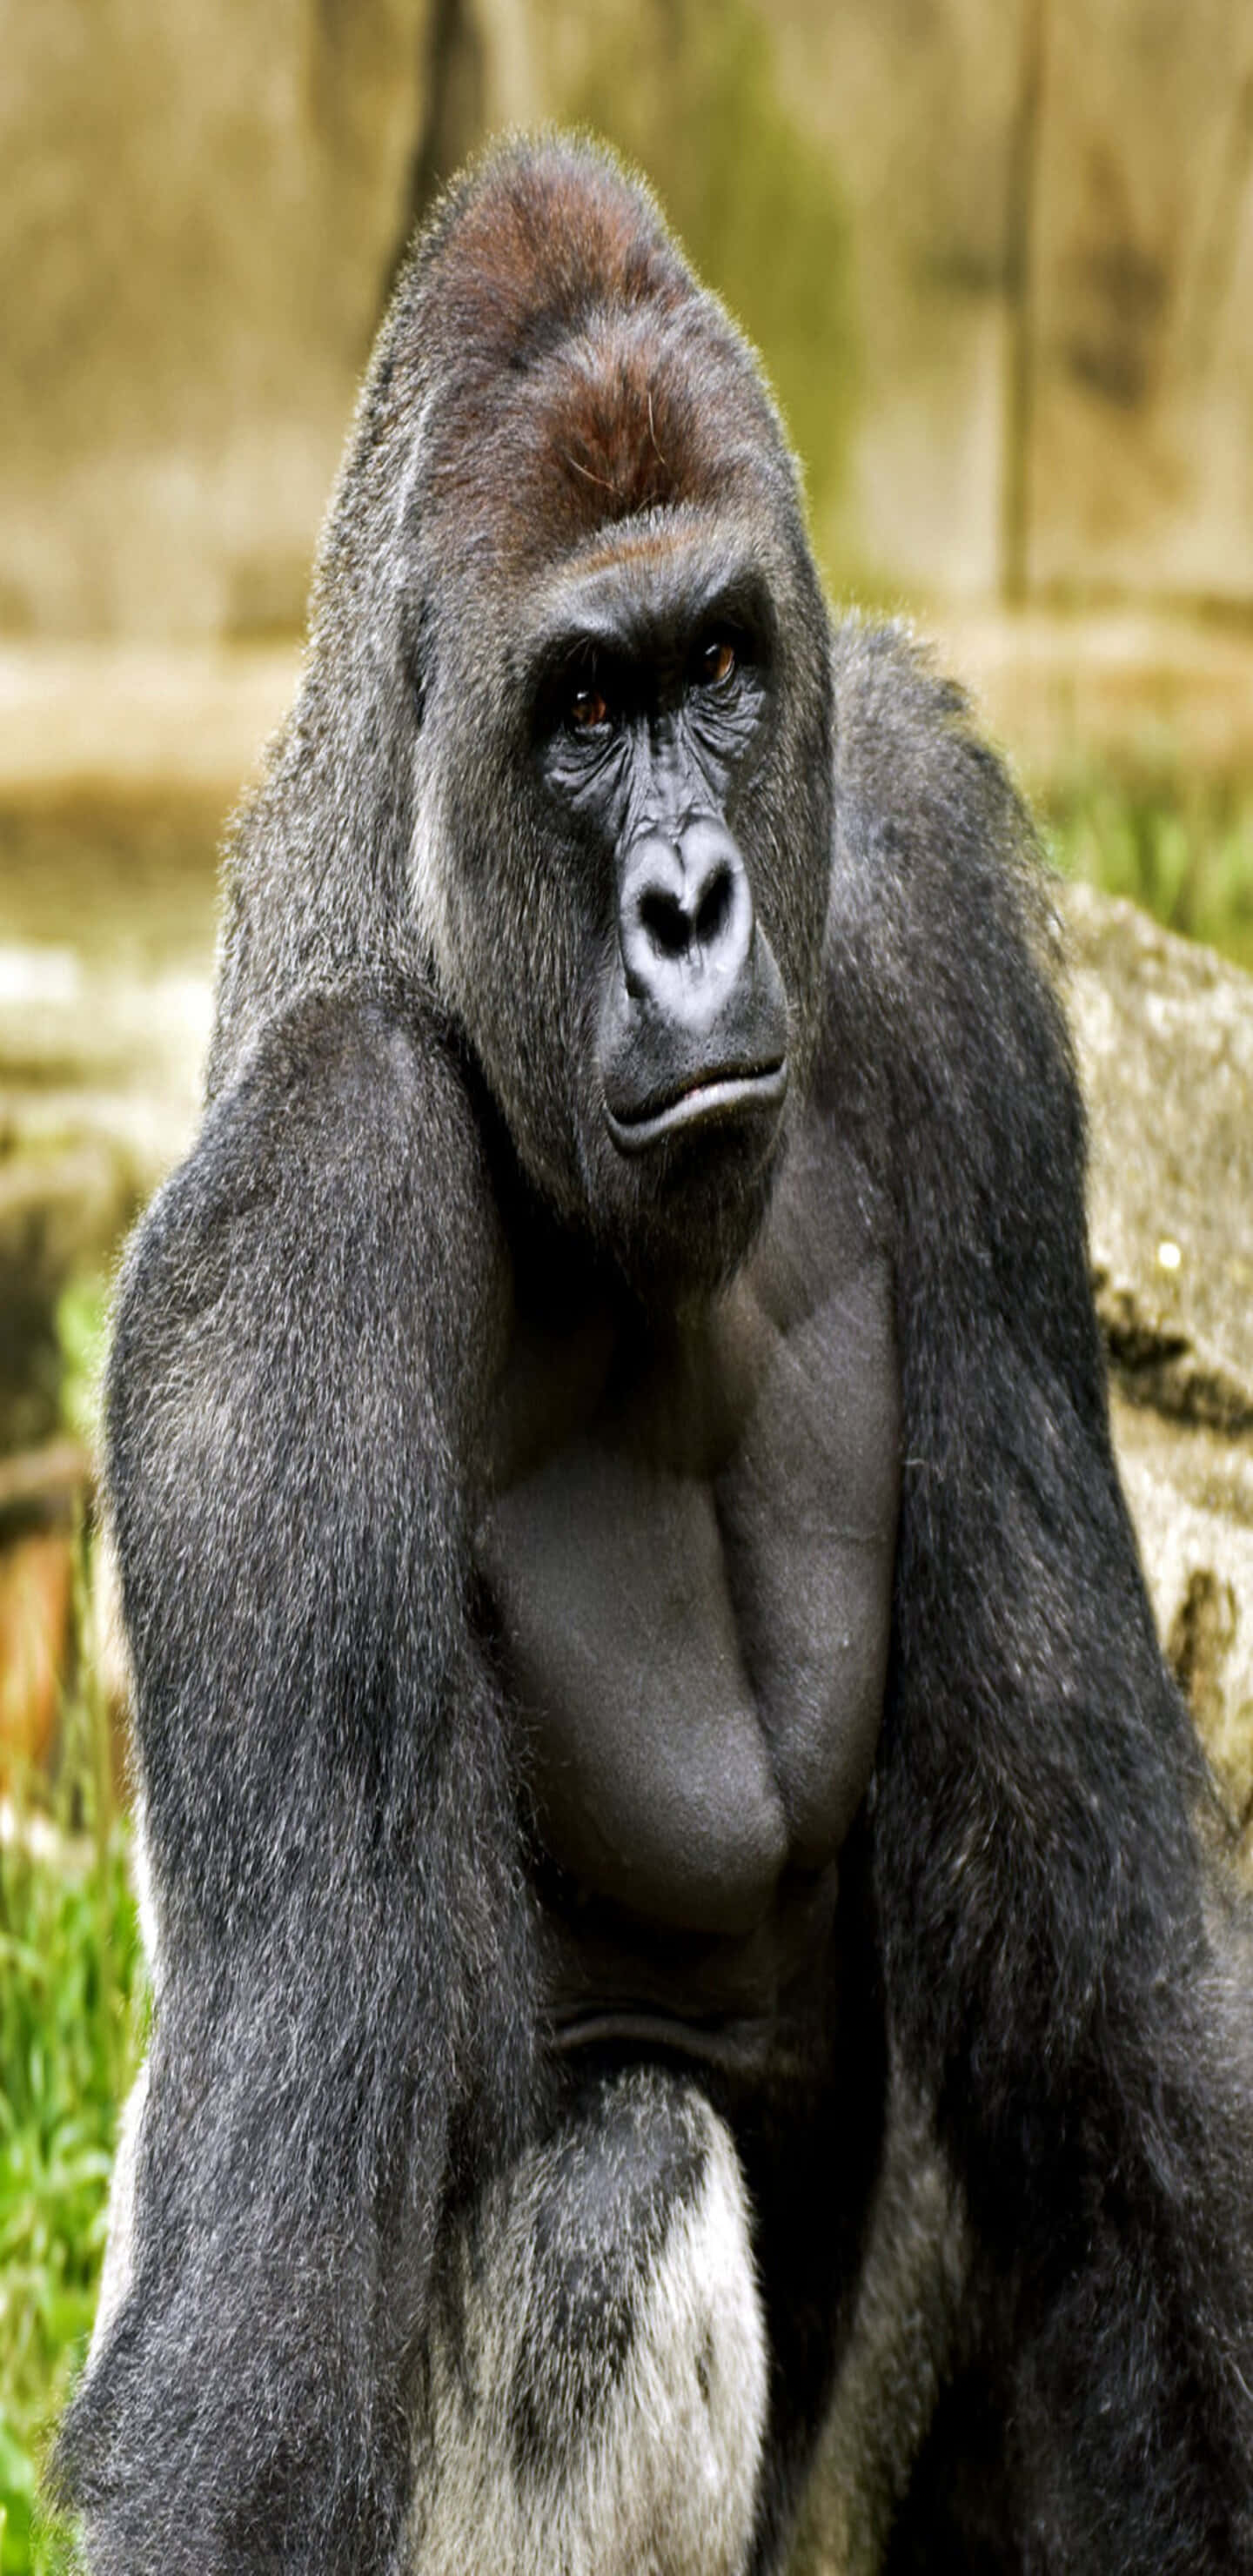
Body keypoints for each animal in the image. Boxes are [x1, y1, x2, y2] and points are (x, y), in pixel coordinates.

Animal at [56, 137, 1253, 2575]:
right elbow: (269, 2322)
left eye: (714, 666)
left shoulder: (935, 904)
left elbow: (1109, 2018)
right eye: (581, 716)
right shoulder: (299, 1223)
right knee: (624, 2179)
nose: (691, 905)